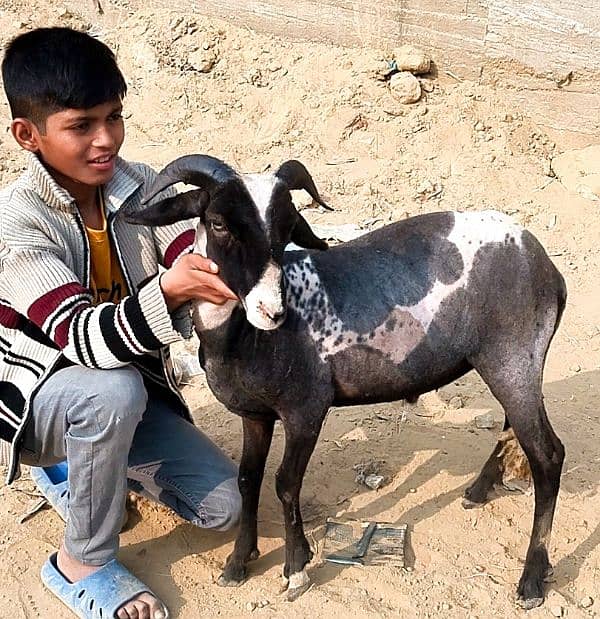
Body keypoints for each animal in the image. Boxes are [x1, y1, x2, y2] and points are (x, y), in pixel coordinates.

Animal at [123, 155, 568, 612]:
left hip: (513, 359)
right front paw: (237, 563)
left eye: (287, 227)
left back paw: (532, 579)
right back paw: (478, 490)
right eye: (217, 223)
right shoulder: (256, 415)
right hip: (505, 366)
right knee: (512, 428)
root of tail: (545, 264)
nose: (272, 310)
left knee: (548, 456)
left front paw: (296, 568)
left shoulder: (305, 410)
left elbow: (285, 483)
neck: (238, 337)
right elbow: (248, 480)